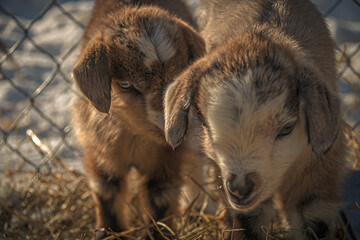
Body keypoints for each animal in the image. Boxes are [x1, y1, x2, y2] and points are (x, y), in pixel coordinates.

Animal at [71, 0, 205, 238]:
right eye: (125, 84)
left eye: (181, 75)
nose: (170, 128)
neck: (136, 137)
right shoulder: (100, 152)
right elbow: (106, 194)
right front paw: (109, 233)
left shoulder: (167, 161)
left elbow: (160, 200)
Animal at [164, 0, 348, 239]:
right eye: (207, 126)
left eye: (287, 129)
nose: (240, 189)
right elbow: (247, 223)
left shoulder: (318, 170)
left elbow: (313, 221)